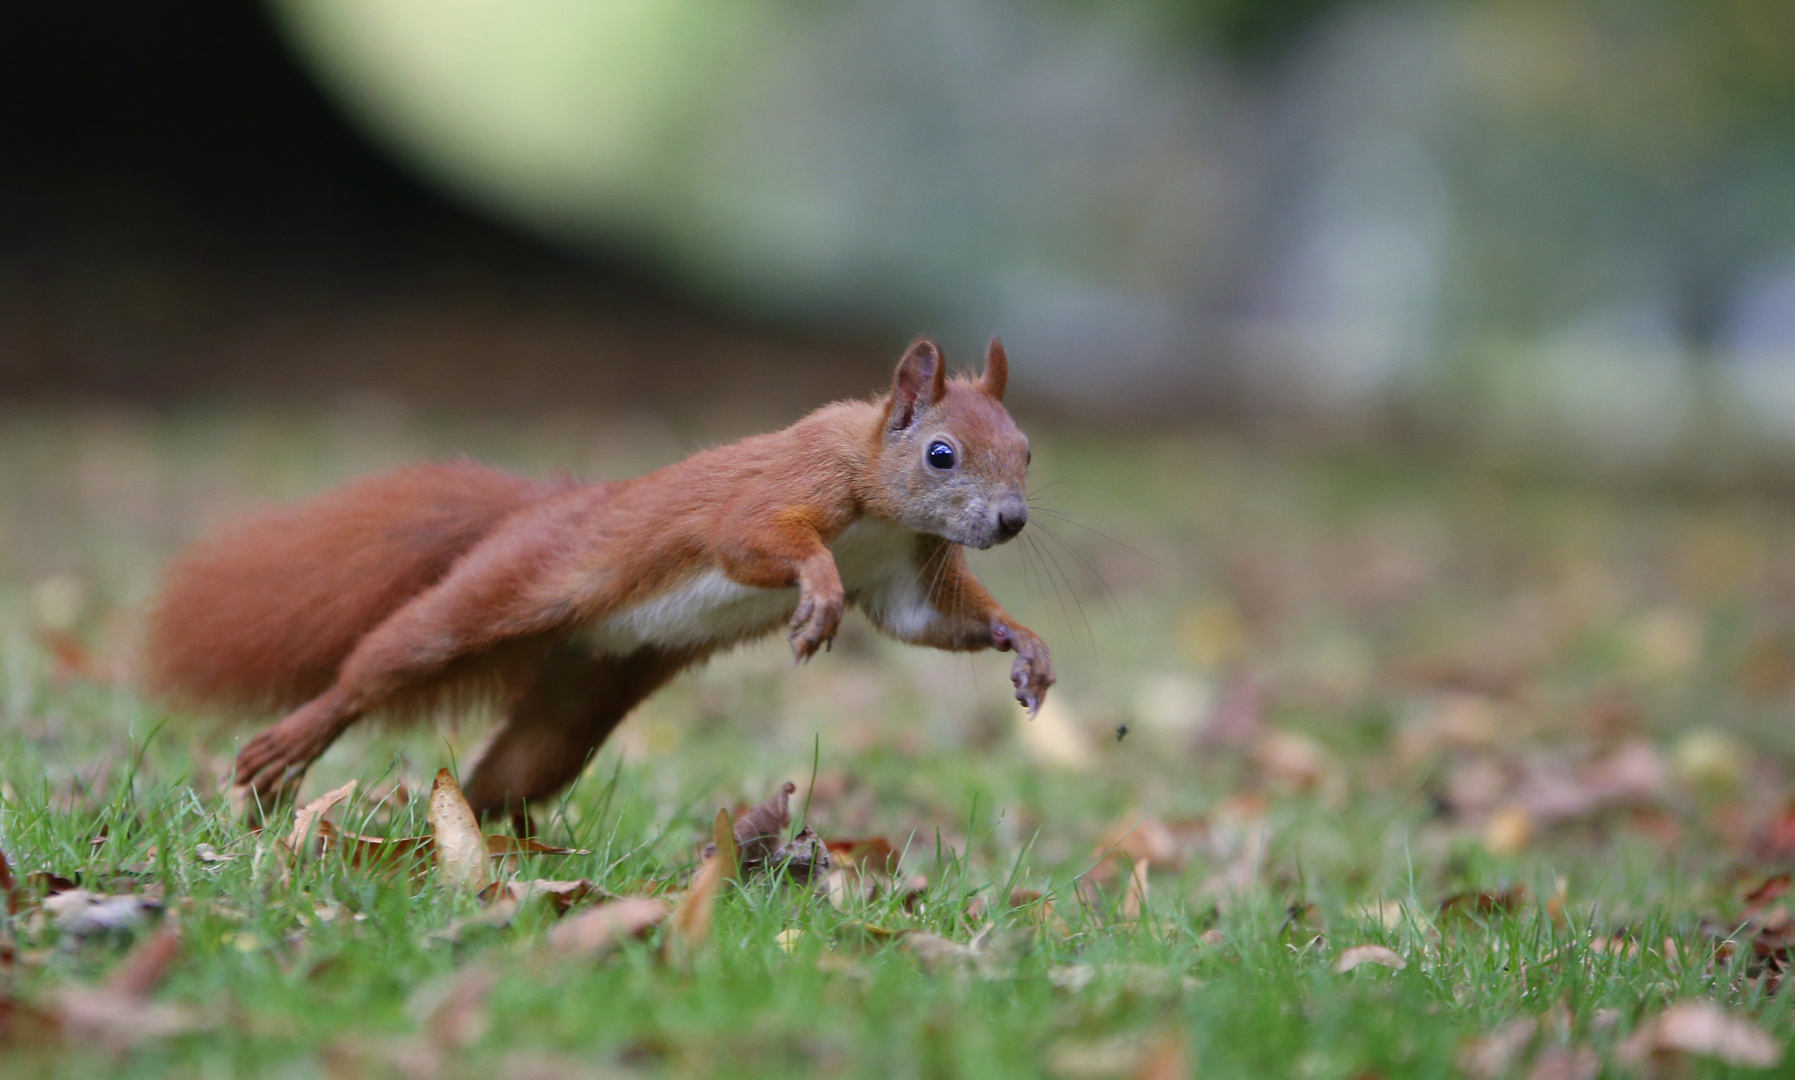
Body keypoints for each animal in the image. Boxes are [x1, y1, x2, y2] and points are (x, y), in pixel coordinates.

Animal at [154, 337, 1055, 825]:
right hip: (503, 587)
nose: (1011, 519)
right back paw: (291, 746)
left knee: (509, 773)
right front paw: (818, 597)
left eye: (1026, 450)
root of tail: (550, 505)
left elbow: (923, 621)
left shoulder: (905, 571)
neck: (880, 506)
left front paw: (1024, 644)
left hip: (581, 693)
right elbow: (748, 539)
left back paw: (474, 839)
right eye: (940, 454)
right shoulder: (791, 486)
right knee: (379, 667)